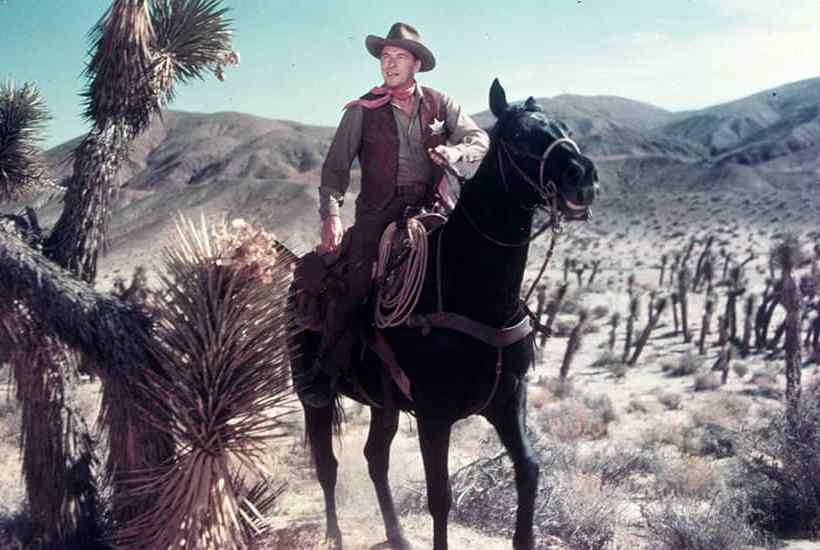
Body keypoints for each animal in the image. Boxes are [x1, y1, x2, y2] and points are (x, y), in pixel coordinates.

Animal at [288, 78, 598, 550]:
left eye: (565, 128)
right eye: (520, 136)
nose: (583, 177)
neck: (472, 292)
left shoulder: (509, 399)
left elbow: (528, 471)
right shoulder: (435, 415)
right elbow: (440, 497)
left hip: (383, 404)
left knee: (375, 457)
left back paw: (397, 536)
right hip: (313, 396)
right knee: (327, 464)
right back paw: (335, 536)